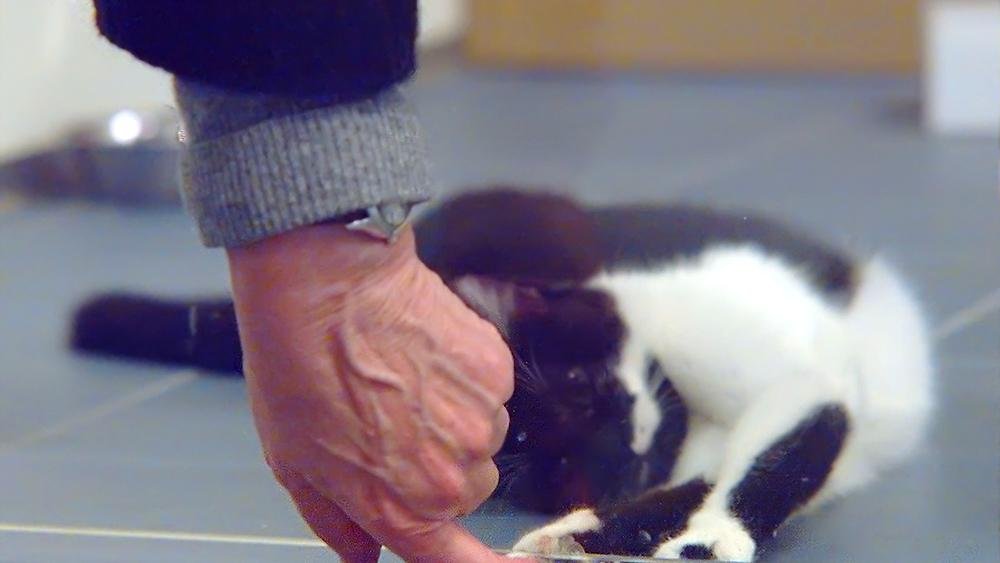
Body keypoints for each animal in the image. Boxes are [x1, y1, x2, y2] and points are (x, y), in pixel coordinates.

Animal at [71, 188, 933, 561]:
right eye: (545, 458)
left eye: (583, 385)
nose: (614, 452)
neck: (695, 419)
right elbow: (689, 485)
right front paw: (590, 532)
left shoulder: (798, 383)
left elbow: (776, 458)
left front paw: (706, 537)